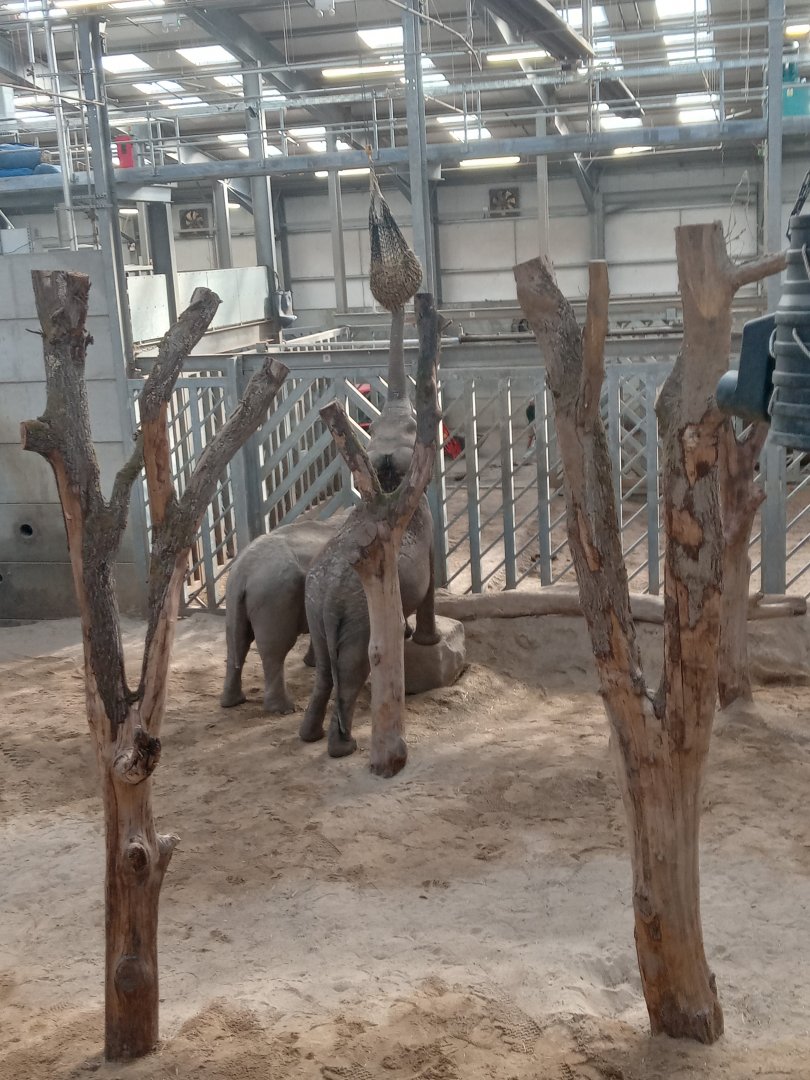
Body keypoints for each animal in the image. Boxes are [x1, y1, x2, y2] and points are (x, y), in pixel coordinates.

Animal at [219, 515, 345, 714]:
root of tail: (243, 572)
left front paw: (311, 663)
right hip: (274, 596)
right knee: (275, 649)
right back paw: (283, 710)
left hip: (234, 596)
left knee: (236, 642)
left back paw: (232, 702)